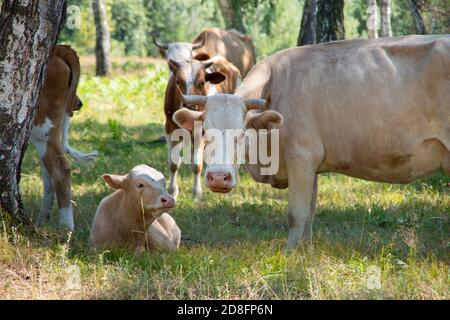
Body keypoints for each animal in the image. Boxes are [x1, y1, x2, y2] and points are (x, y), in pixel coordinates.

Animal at [31, 45, 98, 230]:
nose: (79, 103)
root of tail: (58, 50)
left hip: (42, 128)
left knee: (60, 170)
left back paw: (65, 227)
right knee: (49, 176)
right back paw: (42, 221)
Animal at [164, 56, 243, 199]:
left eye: (202, 83)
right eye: (178, 81)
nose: (190, 106)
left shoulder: (199, 132)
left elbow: (197, 165)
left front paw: (197, 194)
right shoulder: (170, 128)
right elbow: (173, 163)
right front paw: (172, 191)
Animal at [172, 36, 450, 249]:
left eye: (241, 134)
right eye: (205, 133)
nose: (219, 178)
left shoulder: (302, 156)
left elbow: (297, 213)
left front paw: (291, 252)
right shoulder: (312, 164)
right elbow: (310, 211)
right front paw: (305, 248)